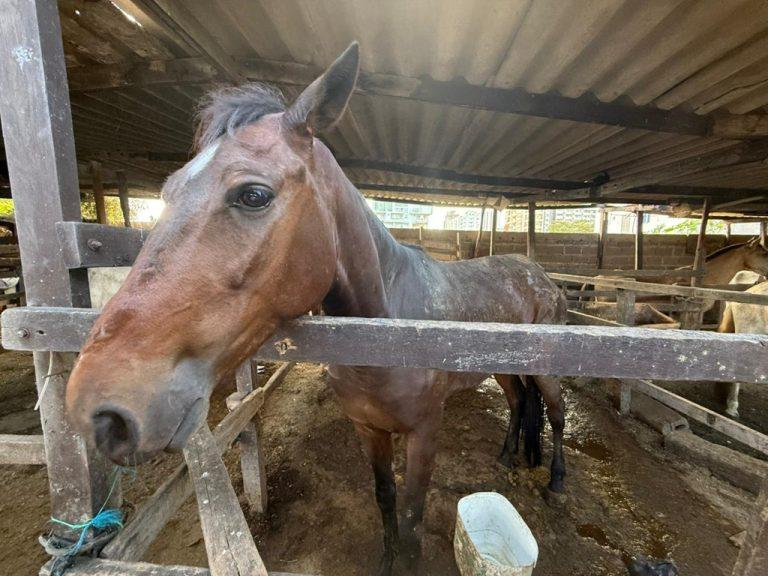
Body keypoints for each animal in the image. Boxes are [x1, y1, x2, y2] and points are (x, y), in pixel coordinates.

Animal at [65, 43, 568, 575]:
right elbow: (385, 498)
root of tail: (540, 276)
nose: (99, 409)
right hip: (506, 369)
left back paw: (555, 483)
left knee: (554, 415)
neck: (393, 336)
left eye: (254, 194)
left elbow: (412, 517)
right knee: (518, 403)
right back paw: (508, 457)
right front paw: (387, 559)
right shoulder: (369, 429)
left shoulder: (425, 433)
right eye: (168, 192)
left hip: (547, 375)